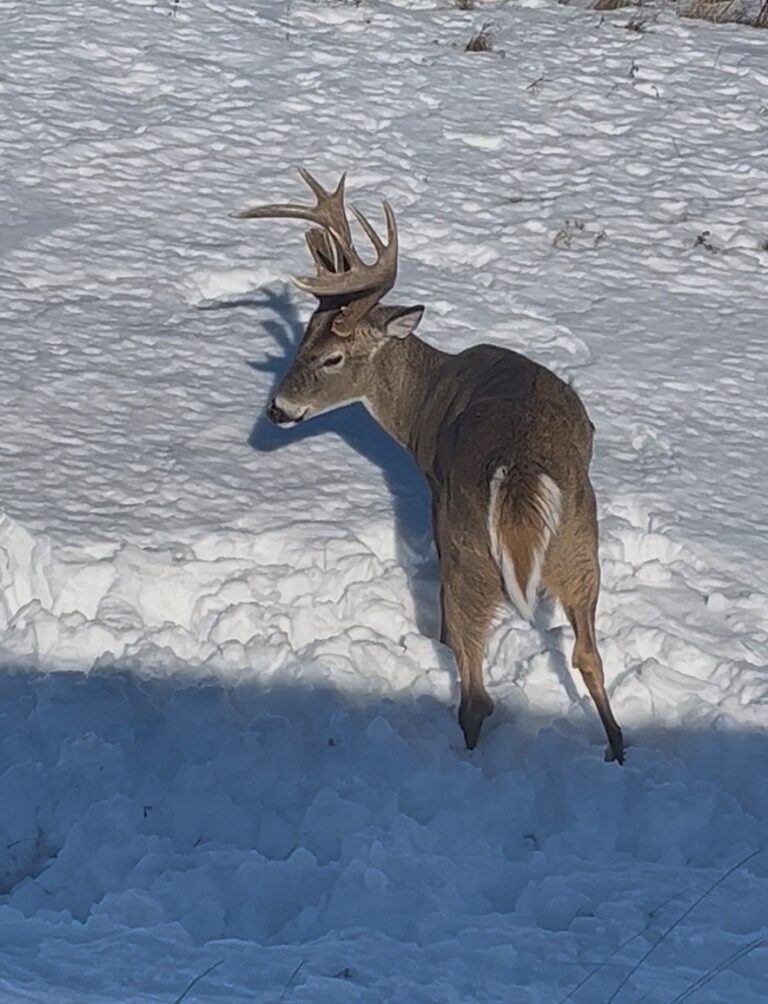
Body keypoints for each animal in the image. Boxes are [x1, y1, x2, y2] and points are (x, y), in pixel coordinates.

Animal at [232, 169, 625, 764]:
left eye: (332, 358)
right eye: (302, 343)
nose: (277, 410)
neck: (423, 401)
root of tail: (519, 470)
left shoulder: (437, 491)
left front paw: (435, 639)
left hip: (474, 549)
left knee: (478, 688)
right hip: (581, 543)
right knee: (589, 655)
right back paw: (618, 750)